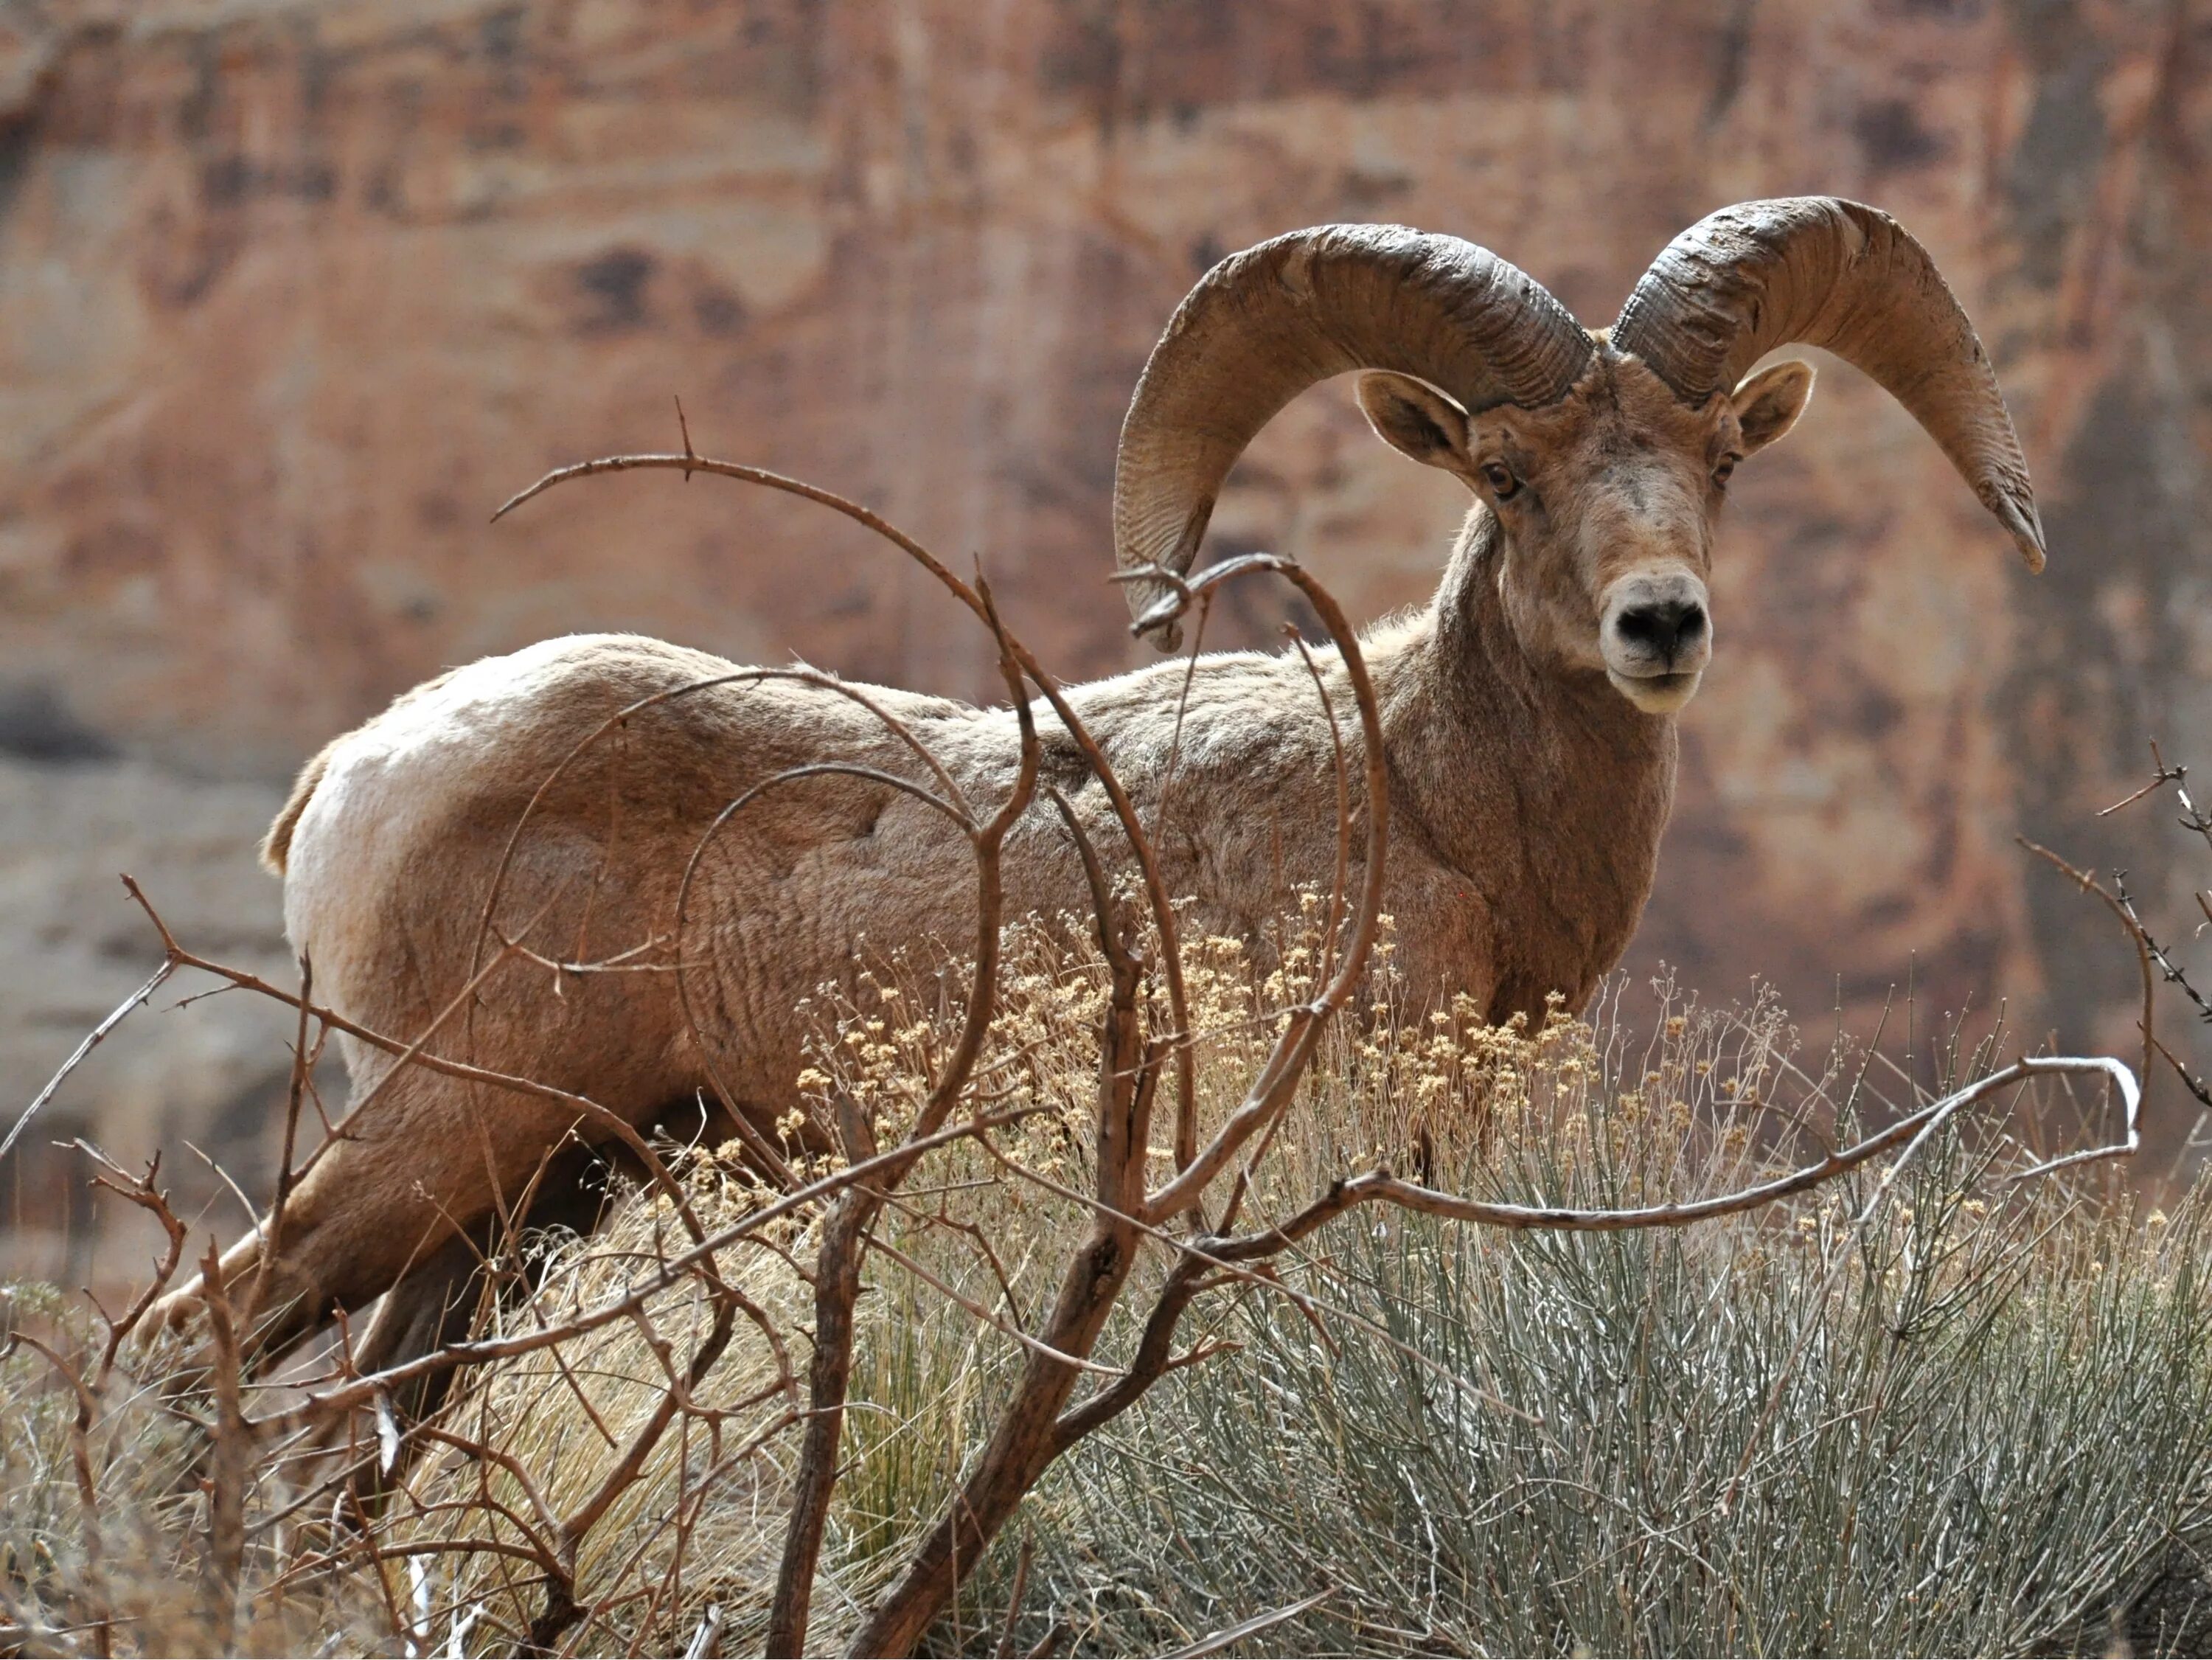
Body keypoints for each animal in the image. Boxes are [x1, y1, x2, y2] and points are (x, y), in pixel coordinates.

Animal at [156, 201, 2044, 1354]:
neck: (1431, 808)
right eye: (1505, 472)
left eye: (1719, 457)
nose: (1662, 622)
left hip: (525, 1207)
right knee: (198, 1344)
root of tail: (353, 774)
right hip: (444, 1128)